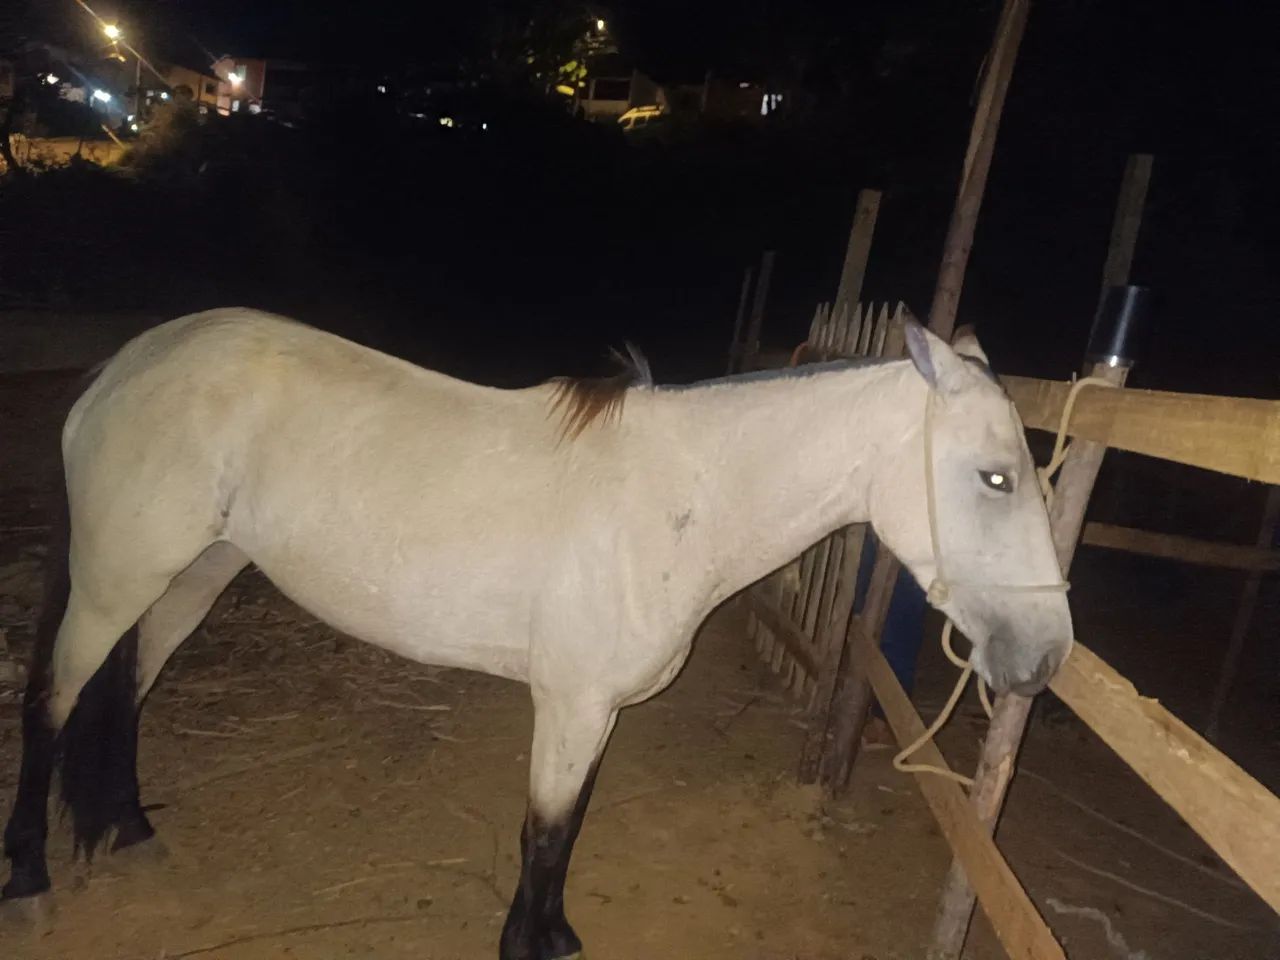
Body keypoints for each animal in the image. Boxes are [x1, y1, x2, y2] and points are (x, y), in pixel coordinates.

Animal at [2, 307, 1072, 959]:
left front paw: (551, 934)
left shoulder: (591, 709)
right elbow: (547, 831)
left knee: (131, 686)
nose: (1047, 658)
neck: (673, 499)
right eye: (996, 477)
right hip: (114, 576)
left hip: (197, 573)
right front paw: (528, 942)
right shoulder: (569, 702)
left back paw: (131, 828)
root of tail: (128, 362)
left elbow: (567, 824)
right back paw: (28, 874)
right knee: (53, 699)